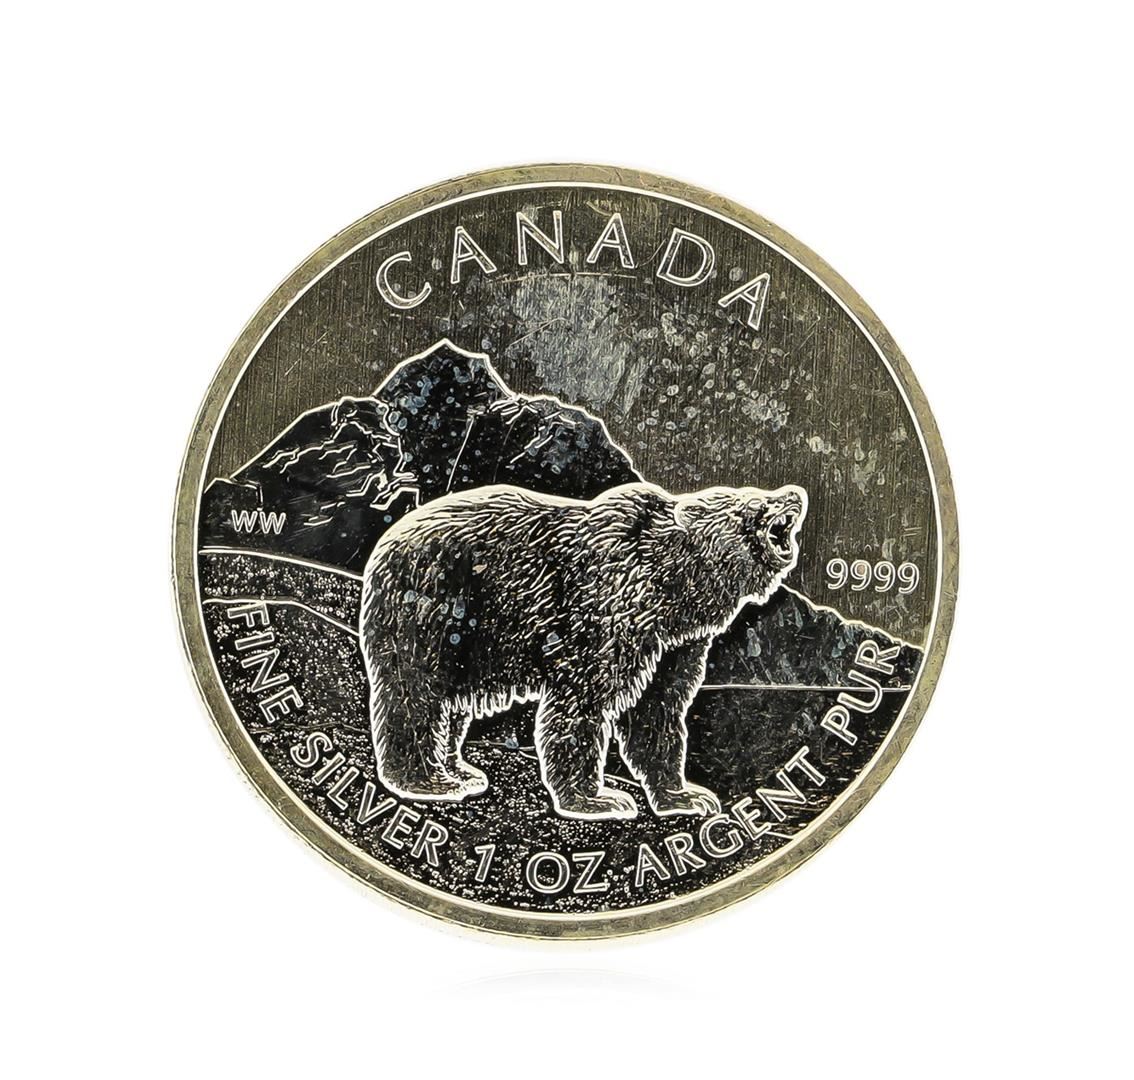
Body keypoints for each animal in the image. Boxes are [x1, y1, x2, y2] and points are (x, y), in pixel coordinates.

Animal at [359, 481, 807, 820]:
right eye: (754, 501)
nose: (794, 494)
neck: (668, 587)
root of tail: (383, 545)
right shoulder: (601, 610)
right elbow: (582, 705)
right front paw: (599, 798)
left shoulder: (673, 646)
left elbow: (657, 713)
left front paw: (686, 795)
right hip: (434, 605)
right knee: (415, 691)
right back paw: (426, 779)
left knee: (451, 703)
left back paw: (460, 770)